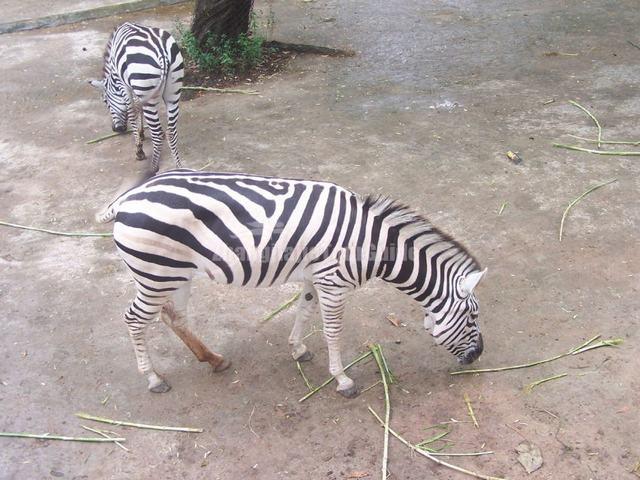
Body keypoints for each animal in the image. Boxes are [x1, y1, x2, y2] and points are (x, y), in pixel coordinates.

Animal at [89, 23, 182, 172]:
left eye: (105, 102)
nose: (116, 129)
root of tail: (162, 50)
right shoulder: (136, 88)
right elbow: (138, 108)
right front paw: (141, 133)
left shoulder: (122, 84)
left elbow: (132, 112)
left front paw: (139, 149)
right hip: (173, 93)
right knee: (171, 132)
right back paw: (179, 167)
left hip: (149, 92)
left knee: (157, 134)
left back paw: (153, 168)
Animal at [100, 171, 488, 396]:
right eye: (472, 316)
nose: (479, 356)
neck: (372, 244)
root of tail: (127, 198)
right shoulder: (333, 282)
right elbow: (332, 331)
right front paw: (342, 380)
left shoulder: (316, 277)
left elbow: (304, 311)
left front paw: (298, 349)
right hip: (155, 273)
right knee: (134, 320)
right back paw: (153, 378)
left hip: (175, 272)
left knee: (172, 317)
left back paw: (214, 360)